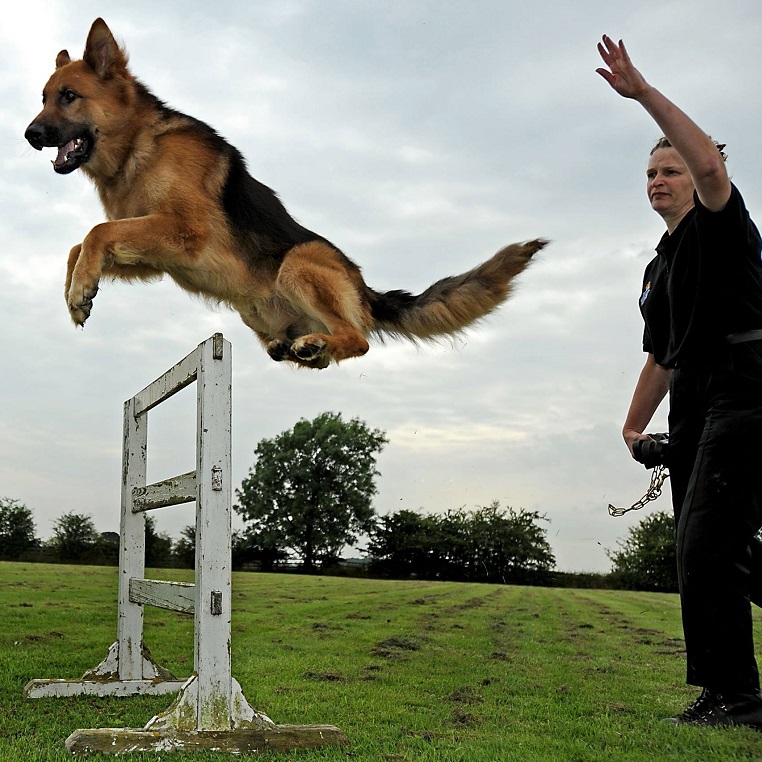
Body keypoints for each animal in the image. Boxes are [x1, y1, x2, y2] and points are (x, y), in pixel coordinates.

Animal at [25, 19, 548, 370]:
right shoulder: (155, 253)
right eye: (43, 98)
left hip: (299, 261)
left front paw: (80, 290)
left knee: (359, 339)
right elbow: (81, 244)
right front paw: (78, 292)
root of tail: (367, 292)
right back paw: (308, 348)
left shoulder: (183, 233)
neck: (137, 145)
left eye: (69, 96)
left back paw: (321, 343)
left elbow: (96, 232)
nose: (29, 135)